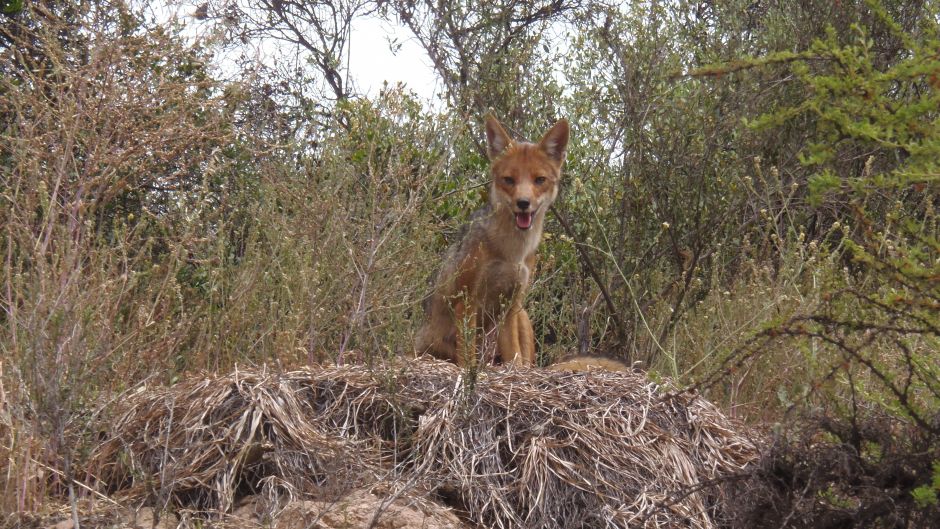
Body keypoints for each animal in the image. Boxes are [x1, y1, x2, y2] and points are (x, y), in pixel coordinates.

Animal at [415, 115, 569, 368]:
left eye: (539, 180)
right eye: (509, 180)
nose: (523, 203)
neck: (512, 252)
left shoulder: (511, 305)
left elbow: (515, 356)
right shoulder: (467, 301)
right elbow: (467, 358)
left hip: (521, 315)